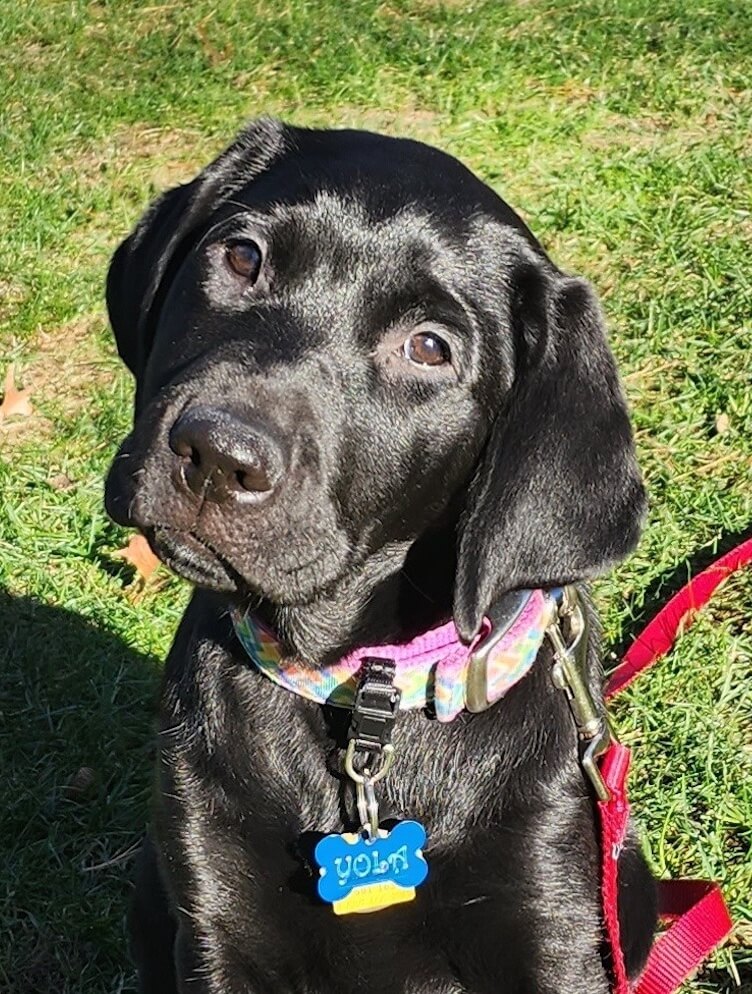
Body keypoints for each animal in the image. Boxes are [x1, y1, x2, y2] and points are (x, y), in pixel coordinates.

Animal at [103, 122, 656, 992]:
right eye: (243, 256)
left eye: (428, 348)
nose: (217, 454)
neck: (366, 695)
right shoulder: (211, 909)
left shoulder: (560, 924)